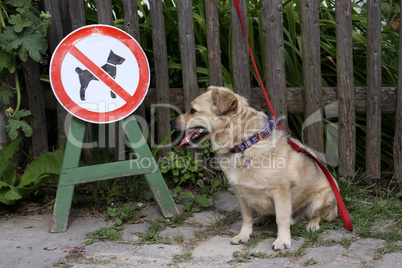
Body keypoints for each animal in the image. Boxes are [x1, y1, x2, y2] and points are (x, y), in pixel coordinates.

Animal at [171, 86, 338, 251]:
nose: (171, 121)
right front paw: (244, 235)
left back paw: (312, 224)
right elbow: (247, 218)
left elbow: (282, 219)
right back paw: (262, 218)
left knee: (319, 215)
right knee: (270, 214)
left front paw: (283, 240)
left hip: (320, 199)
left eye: (193, 110)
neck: (243, 144)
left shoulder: (281, 192)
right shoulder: (241, 193)